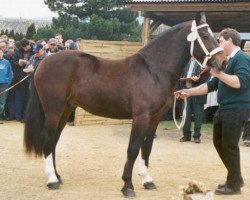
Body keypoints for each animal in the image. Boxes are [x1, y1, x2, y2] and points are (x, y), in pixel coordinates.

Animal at [23, 12, 227, 197]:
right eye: (206, 36)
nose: (223, 62)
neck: (153, 70)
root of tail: (43, 63)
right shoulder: (141, 116)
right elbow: (133, 148)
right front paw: (127, 186)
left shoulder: (155, 117)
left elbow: (147, 147)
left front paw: (147, 180)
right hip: (53, 110)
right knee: (48, 139)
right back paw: (51, 180)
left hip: (66, 110)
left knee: (54, 141)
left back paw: (57, 176)